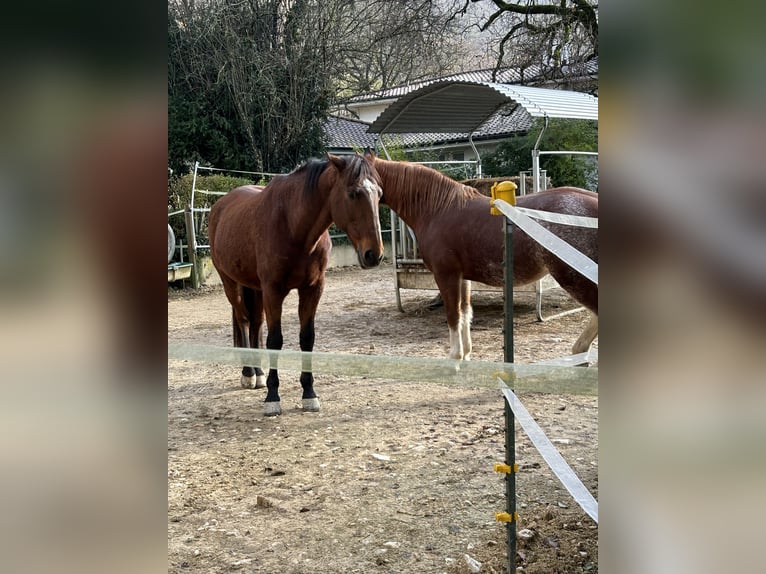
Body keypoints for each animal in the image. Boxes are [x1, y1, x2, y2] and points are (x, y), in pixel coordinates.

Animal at [210, 154, 388, 414]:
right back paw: (248, 373)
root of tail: (220, 206)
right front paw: (273, 398)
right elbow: (275, 340)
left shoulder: (312, 289)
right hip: (230, 282)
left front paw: (309, 393)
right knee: (243, 320)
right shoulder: (274, 291)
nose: (374, 254)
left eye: (379, 193)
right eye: (353, 193)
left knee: (255, 323)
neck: (292, 225)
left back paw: (258, 372)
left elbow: (307, 338)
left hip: (255, 288)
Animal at [370, 153, 600, 360]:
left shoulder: (446, 275)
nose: (372, 255)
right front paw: (465, 355)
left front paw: (455, 357)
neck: (438, 209)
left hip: (575, 277)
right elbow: (465, 312)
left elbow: (453, 315)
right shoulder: (462, 277)